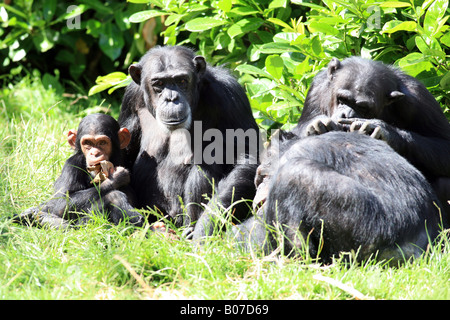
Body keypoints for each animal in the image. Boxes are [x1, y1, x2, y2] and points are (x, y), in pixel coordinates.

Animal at [118, 45, 260, 238]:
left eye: (181, 80)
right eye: (159, 84)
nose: (171, 98)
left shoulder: (230, 95)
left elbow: (246, 157)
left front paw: (205, 227)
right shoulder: (130, 97)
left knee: (206, 163)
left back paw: (191, 230)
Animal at [292, 56, 450, 225]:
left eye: (363, 107)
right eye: (342, 99)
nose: (346, 115)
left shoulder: (418, 99)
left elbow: (444, 145)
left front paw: (383, 130)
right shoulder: (317, 87)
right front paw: (318, 124)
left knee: (443, 182)